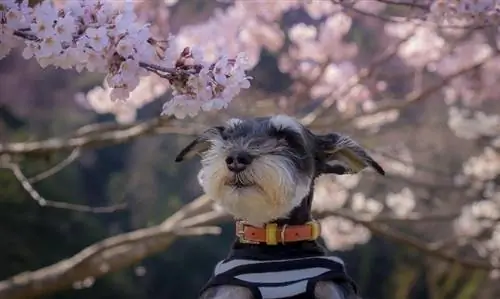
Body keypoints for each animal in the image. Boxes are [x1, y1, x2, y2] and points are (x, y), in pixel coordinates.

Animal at [174, 115, 384, 299]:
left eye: (287, 138)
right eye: (228, 137)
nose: (235, 158)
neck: (273, 240)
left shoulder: (329, 289)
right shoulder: (230, 292)